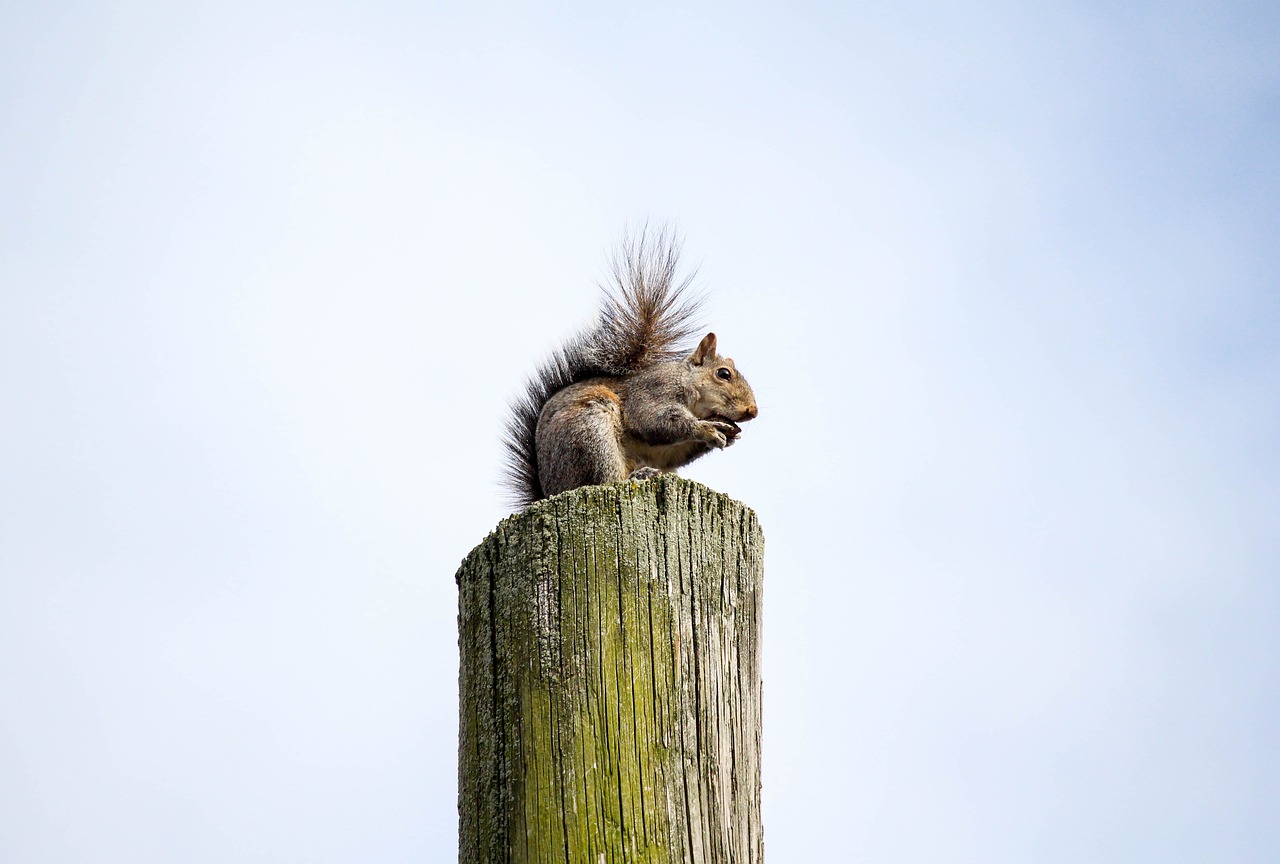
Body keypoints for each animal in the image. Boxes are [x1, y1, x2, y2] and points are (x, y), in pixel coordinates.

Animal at [501, 230, 757, 509]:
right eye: (723, 374)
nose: (752, 411)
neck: (688, 387)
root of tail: (551, 491)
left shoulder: (664, 452)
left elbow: (670, 452)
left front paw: (728, 434)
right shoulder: (653, 391)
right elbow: (654, 421)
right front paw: (707, 429)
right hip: (590, 436)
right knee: (603, 480)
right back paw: (637, 475)